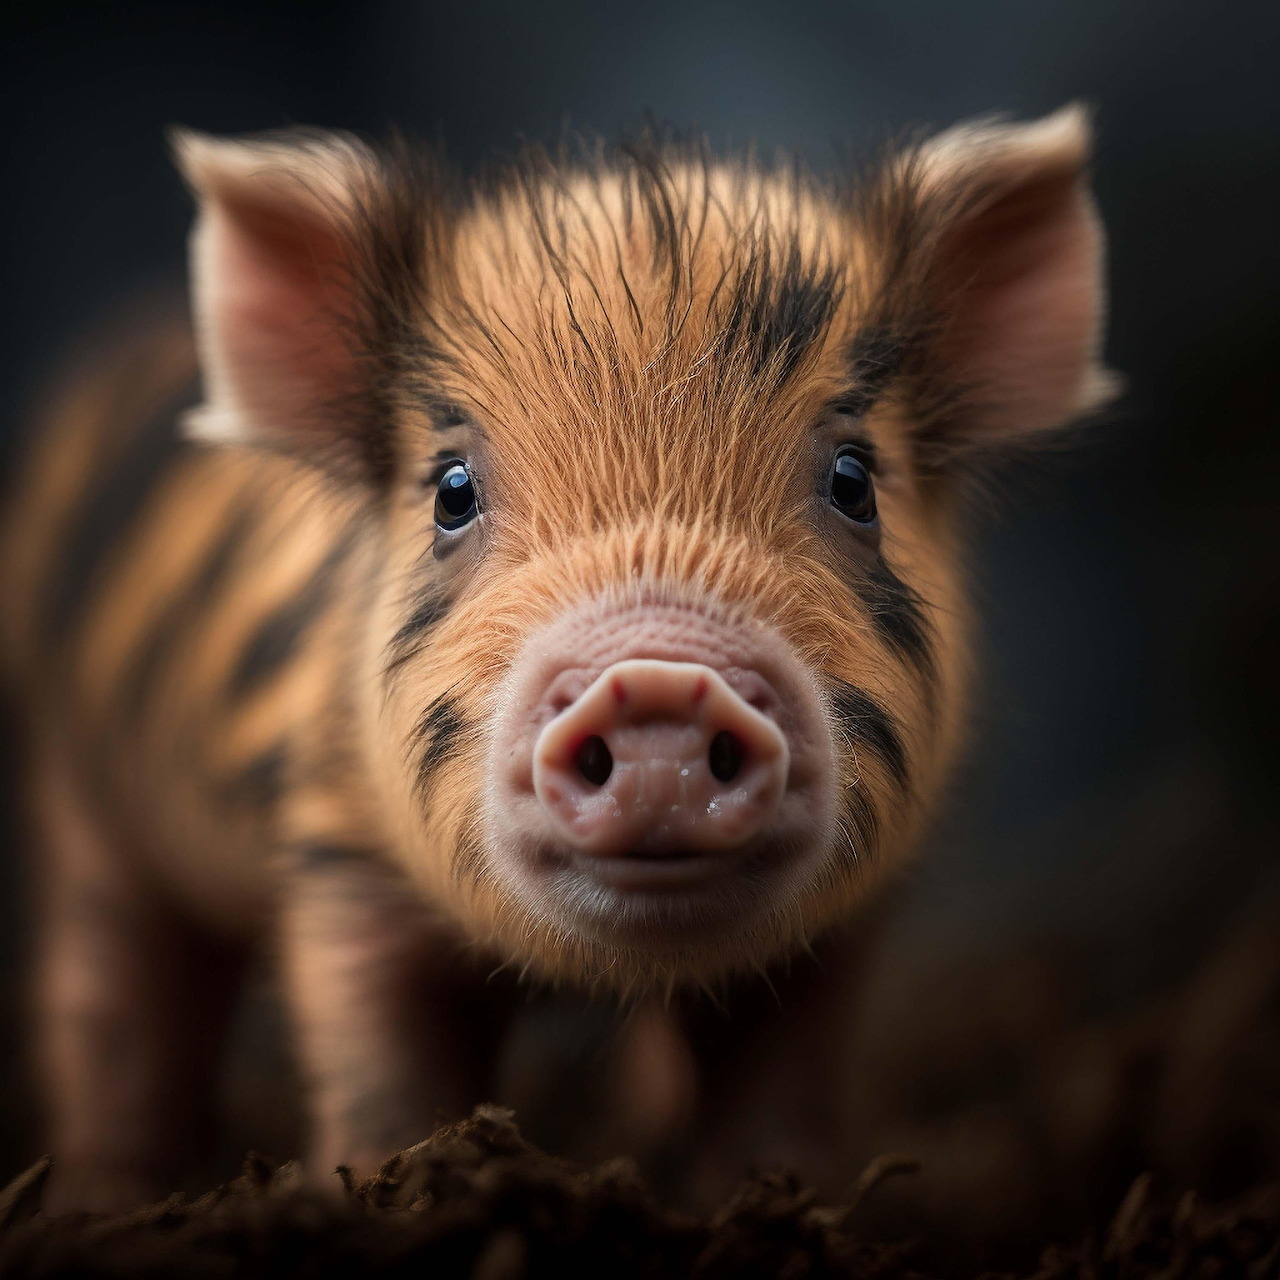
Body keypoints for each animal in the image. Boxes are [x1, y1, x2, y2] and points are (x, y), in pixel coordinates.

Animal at [1, 107, 1112, 1211]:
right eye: (451, 490)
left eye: (853, 480)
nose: (658, 682)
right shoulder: (336, 848)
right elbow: (378, 1054)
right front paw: (379, 1187)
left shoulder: (846, 924)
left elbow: (778, 1071)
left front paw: (768, 1193)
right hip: (78, 785)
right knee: (109, 988)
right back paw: (105, 1195)